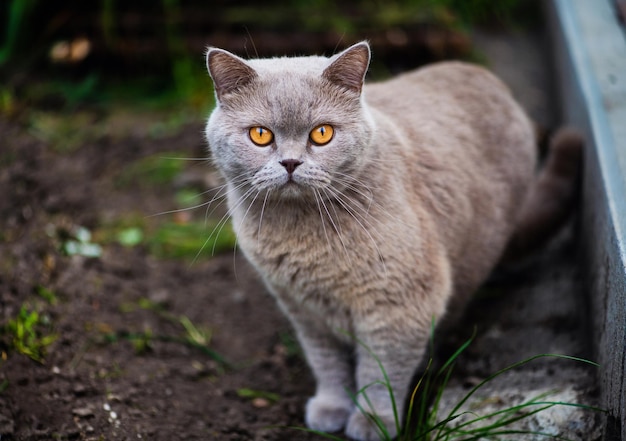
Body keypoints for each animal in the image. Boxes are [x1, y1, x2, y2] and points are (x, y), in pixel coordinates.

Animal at [204, 42, 580, 440]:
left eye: (322, 133)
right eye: (260, 134)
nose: (290, 162)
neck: (303, 234)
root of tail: (489, 79)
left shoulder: (399, 304)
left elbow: (381, 371)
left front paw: (373, 421)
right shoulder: (303, 310)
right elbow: (327, 364)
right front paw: (331, 408)